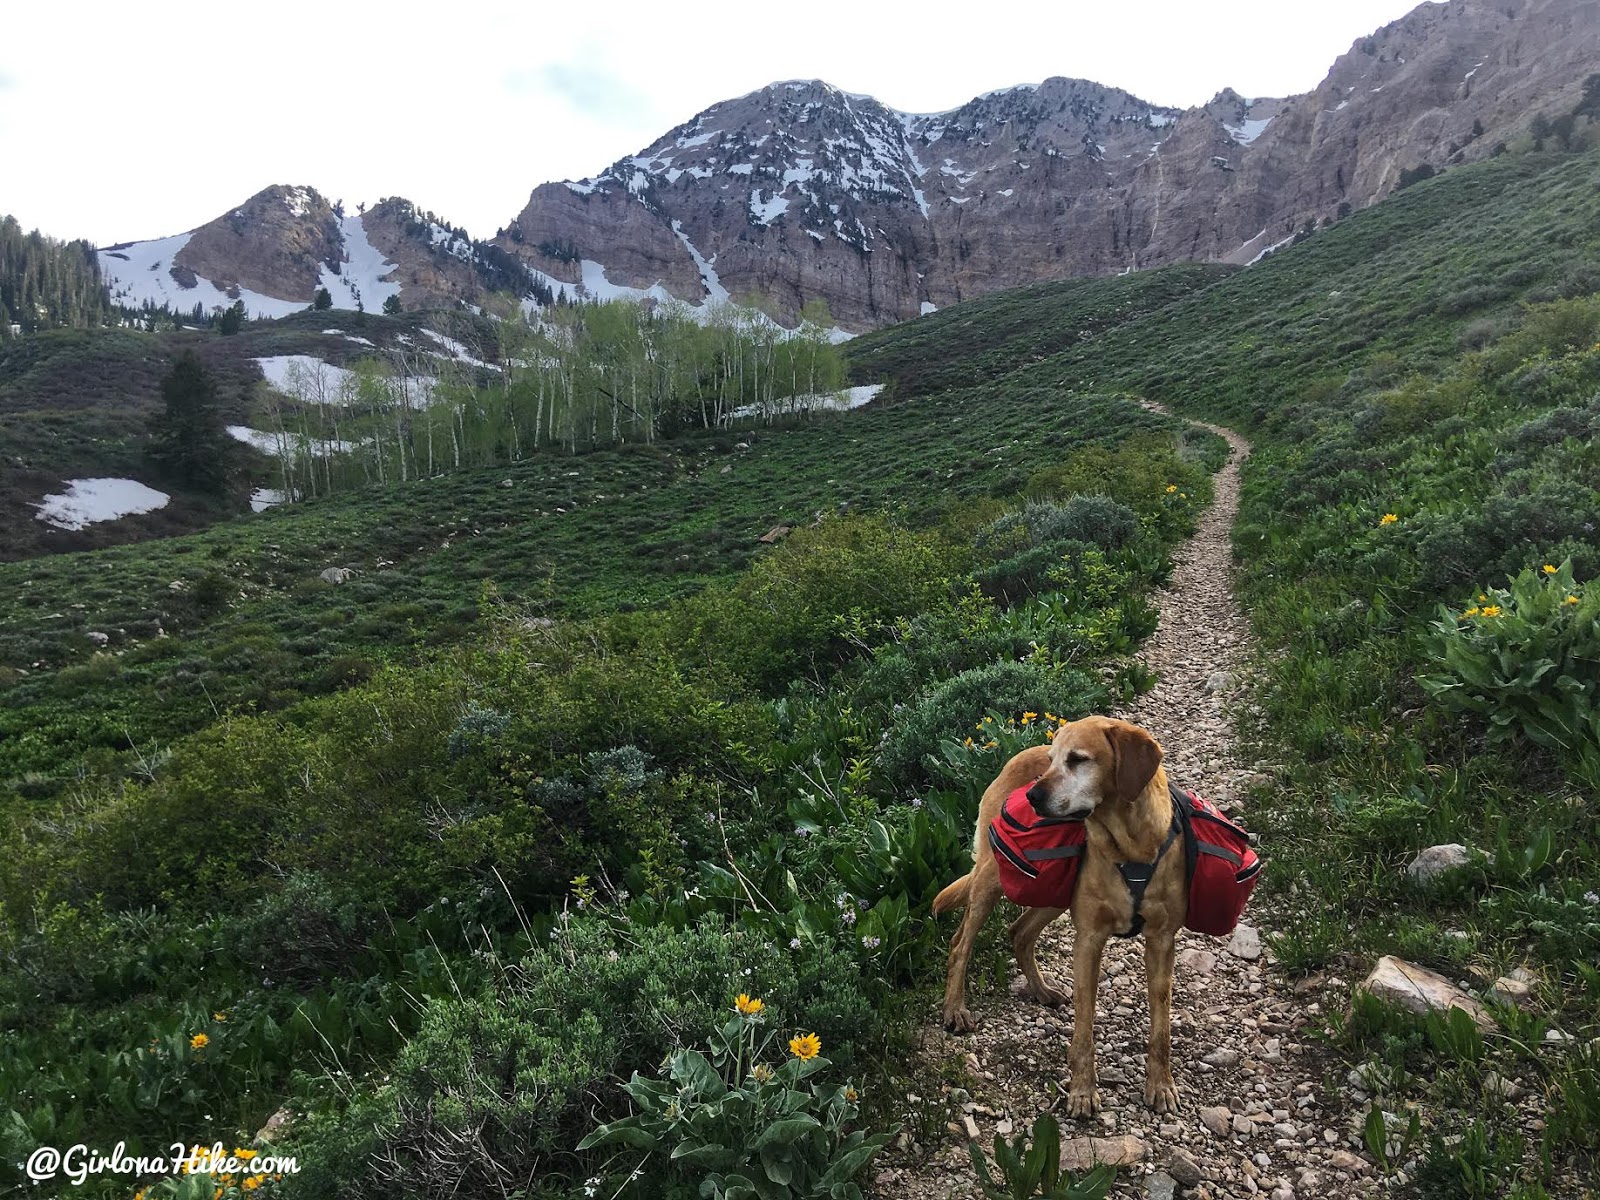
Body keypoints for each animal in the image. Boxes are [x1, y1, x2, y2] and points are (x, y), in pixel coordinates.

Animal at [928, 713, 1190, 1120]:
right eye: (1052, 760)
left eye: (1078, 759)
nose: (1032, 796)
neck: (1129, 845)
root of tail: (1014, 756)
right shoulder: (1088, 941)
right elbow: (1084, 1028)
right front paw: (1082, 1091)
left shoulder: (1162, 942)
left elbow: (1161, 1026)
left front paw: (1161, 1085)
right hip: (992, 877)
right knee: (960, 943)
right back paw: (955, 1008)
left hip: (1053, 893)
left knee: (1019, 932)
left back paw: (1040, 990)